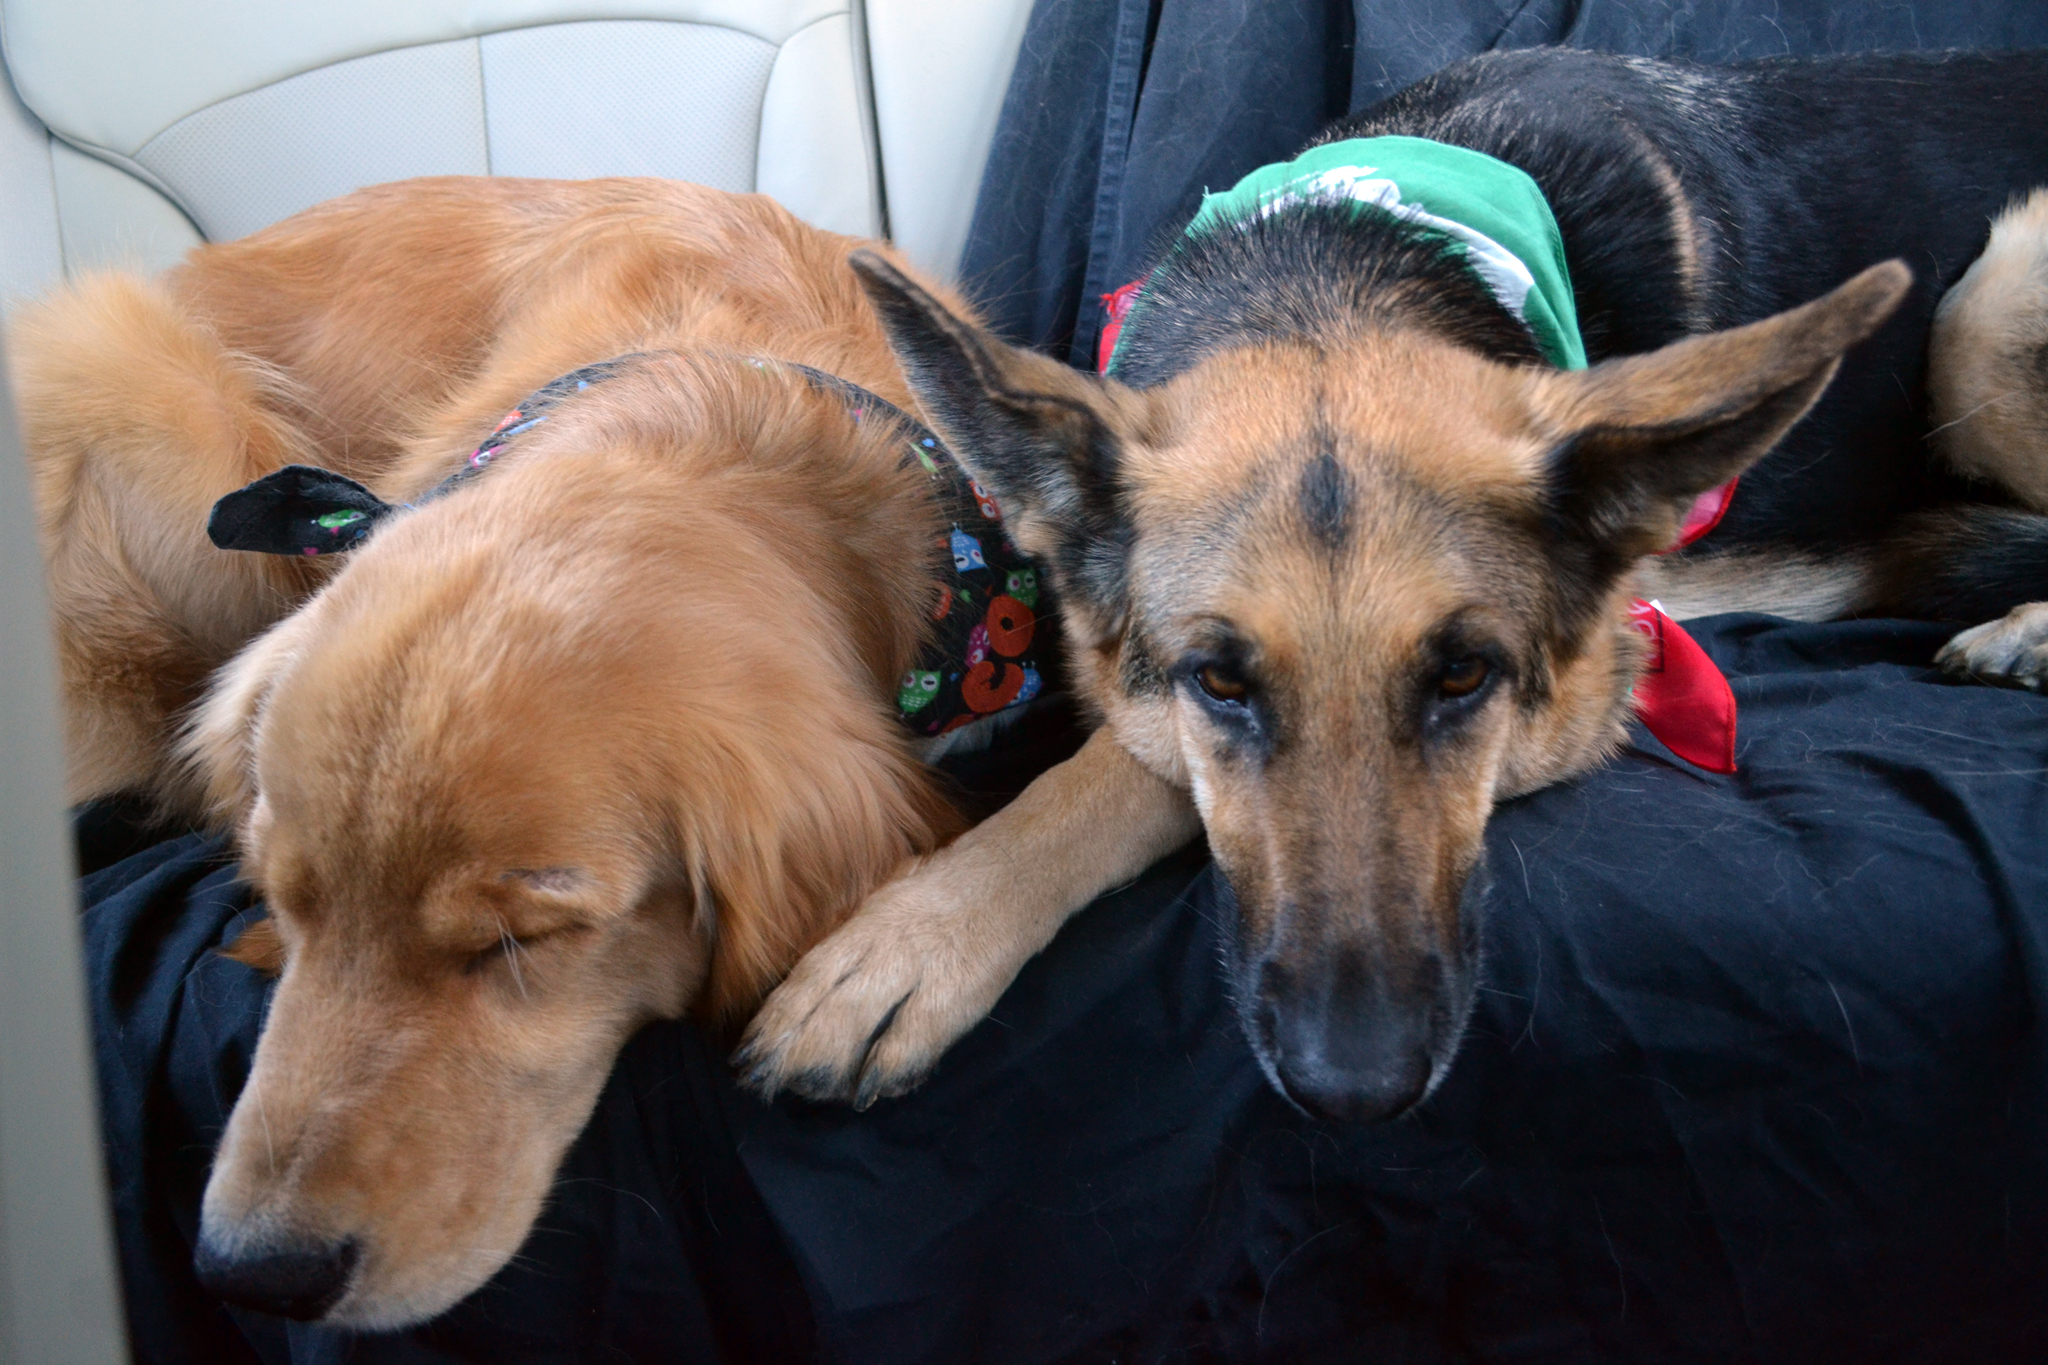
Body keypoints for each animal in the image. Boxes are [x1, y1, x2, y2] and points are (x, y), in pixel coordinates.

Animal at [745, 50, 2048, 1121]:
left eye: (1464, 677)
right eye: (1218, 683)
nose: (1354, 1084)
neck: (1337, 258)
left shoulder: (1595, 685)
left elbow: (1116, 775)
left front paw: (917, 939)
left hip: (1990, 292)